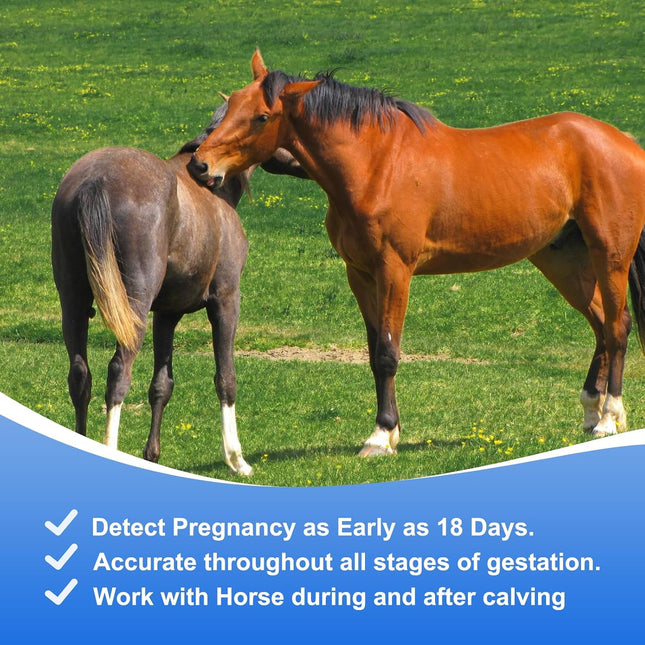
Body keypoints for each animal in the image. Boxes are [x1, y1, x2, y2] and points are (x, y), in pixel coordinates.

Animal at [51, 102, 306, 475]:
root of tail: (96, 179)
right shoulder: (225, 301)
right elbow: (225, 378)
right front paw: (236, 458)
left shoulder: (167, 315)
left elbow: (161, 385)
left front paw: (152, 455)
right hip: (134, 307)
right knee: (118, 372)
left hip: (73, 302)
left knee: (80, 375)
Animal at [189, 49, 645, 457]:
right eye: (230, 104)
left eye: (261, 117)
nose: (199, 165)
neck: (377, 164)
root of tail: (625, 143)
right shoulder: (361, 275)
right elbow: (374, 353)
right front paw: (388, 431)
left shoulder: (395, 271)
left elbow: (389, 353)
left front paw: (381, 436)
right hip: (563, 259)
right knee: (601, 325)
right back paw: (592, 411)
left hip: (610, 254)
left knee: (617, 327)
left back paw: (609, 417)